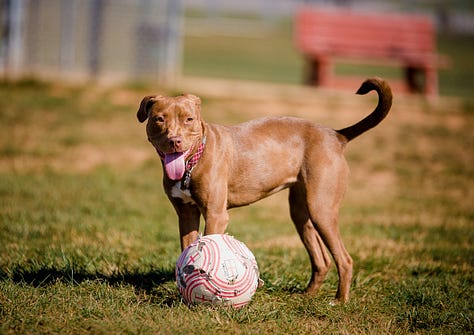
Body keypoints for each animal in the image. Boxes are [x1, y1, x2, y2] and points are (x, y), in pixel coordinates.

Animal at [137, 77, 392, 304]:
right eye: (159, 119)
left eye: (189, 119)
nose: (175, 141)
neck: (194, 160)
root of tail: (336, 135)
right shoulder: (186, 214)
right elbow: (186, 249)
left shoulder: (215, 214)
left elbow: (209, 241)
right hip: (301, 213)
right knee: (321, 259)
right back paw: (308, 296)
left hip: (322, 209)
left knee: (345, 260)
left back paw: (339, 301)